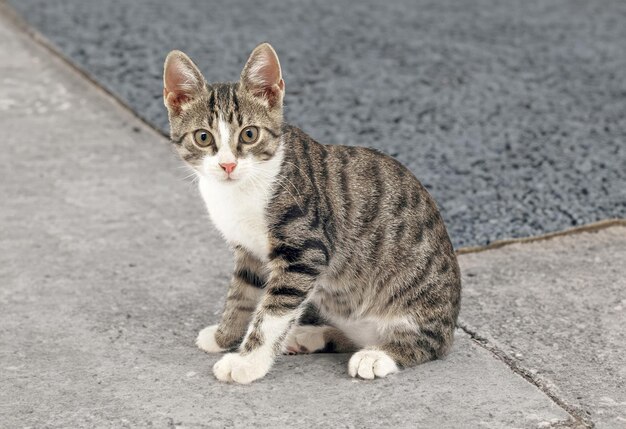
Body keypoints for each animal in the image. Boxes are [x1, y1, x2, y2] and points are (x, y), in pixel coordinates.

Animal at [163, 43, 460, 382]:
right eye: (203, 137)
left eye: (249, 134)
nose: (228, 165)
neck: (241, 190)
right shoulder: (249, 252)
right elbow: (241, 295)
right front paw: (224, 336)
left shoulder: (303, 251)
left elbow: (272, 313)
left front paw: (247, 362)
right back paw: (308, 336)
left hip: (417, 303)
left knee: (429, 344)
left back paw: (377, 356)